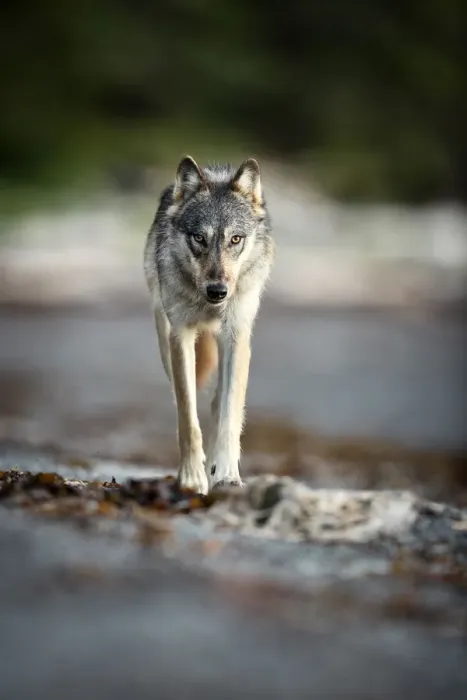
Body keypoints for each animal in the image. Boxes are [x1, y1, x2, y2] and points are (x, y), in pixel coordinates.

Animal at [144, 156, 274, 494]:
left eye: (235, 239)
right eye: (199, 238)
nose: (218, 291)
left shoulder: (238, 338)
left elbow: (230, 416)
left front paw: (226, 474)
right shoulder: (181, 336)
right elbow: (188, 419)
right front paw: (191, 478)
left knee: (218, 404)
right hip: (163, 339)